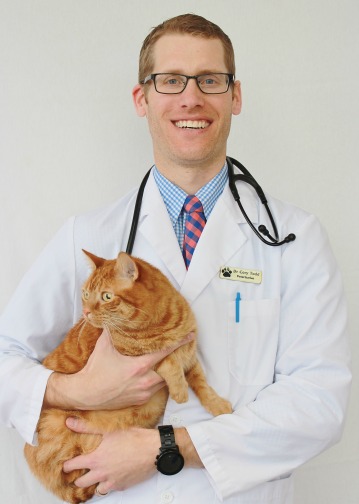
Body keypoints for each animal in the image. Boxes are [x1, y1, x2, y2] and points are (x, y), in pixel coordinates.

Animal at [23, 250, 232, 502]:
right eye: (85, 294)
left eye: (106, 296)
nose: (86, 312)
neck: (165, 324)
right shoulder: (134, 360)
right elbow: (167, 360)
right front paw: (179, 390)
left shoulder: (190, 354)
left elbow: (201, 382)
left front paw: (217, 404)